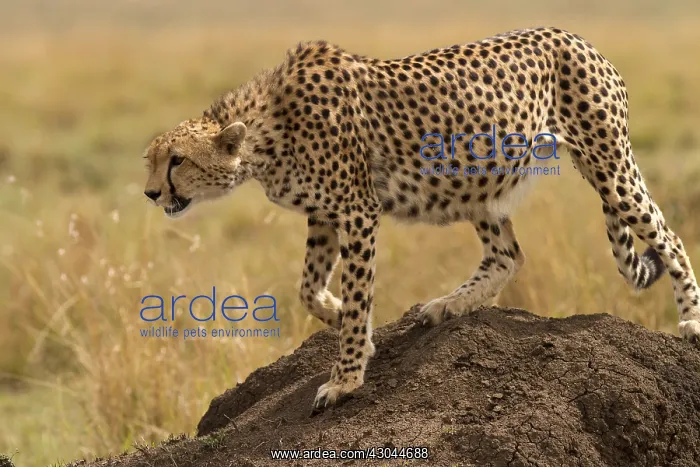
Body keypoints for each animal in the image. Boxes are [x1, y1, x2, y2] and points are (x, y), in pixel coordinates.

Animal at [142, 26, 700, 413]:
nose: (150, 193)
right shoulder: (323, 214)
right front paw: (347, 325)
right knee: (507, 256)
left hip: (607, 167)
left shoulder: (357, 210)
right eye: (151, 160)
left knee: (669, 236)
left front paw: (345, 377)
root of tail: (575, 37)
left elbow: (357, 289)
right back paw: (447, 306)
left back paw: (691, 321)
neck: (266, 130)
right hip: (478, 178)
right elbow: (308, 288)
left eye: (177, 161)